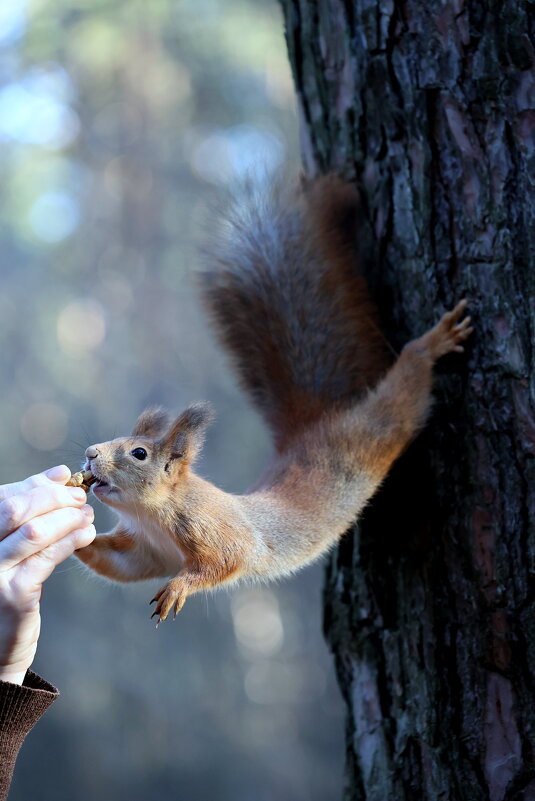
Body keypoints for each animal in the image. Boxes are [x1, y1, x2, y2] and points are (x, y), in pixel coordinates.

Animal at [74, 177, 474, 624]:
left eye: (139, 453)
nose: (90, 454)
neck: (151, 514)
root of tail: (312, 424)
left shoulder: (213, 527)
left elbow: (227, 560)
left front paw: (180, 587)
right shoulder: (150, 551)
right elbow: (121, 565)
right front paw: (72, 532)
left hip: (376, 428)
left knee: (403, 393)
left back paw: (431, 345)